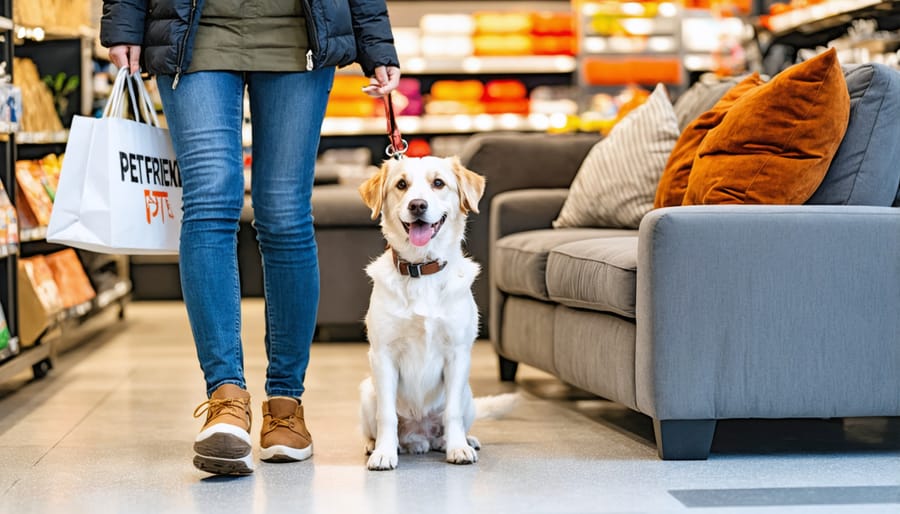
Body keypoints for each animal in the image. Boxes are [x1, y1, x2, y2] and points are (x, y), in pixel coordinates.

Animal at [356, 155, 512, 468]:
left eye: (438, 183)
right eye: (401, 184)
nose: (418, 205)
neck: (421, 268)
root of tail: (420, 437)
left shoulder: (457, 353)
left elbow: (452, 413)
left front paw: (458, 448)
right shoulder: (383, 354)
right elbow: (386, 415)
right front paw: (384, 452)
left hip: (468, 394)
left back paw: (459, 440)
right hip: (368, 390)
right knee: (377, 425)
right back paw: (377, 445)